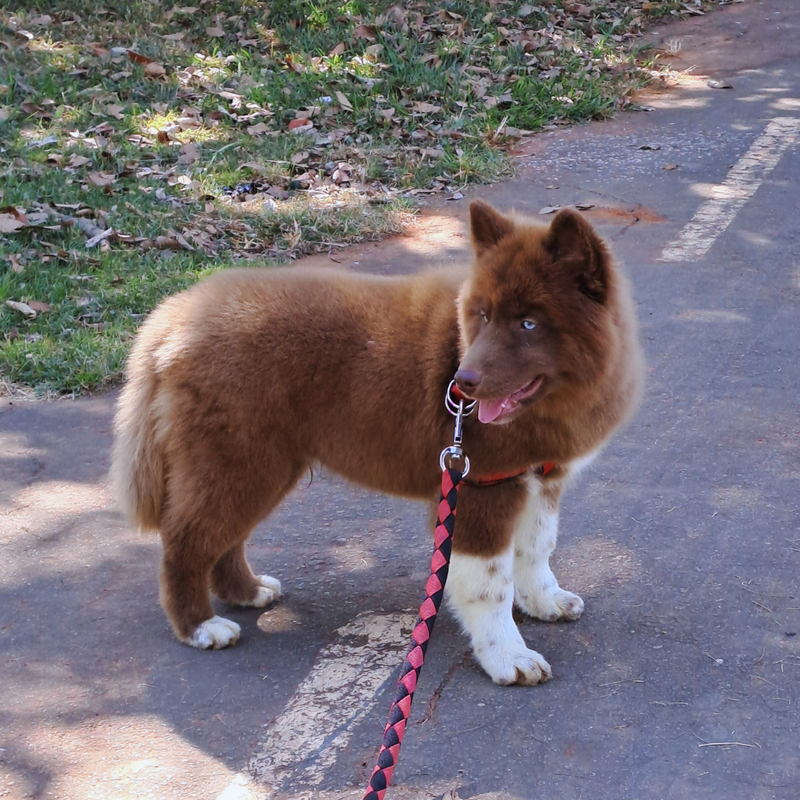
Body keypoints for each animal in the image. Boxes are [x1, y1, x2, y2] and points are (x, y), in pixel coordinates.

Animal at [111, 202, 644, 688]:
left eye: (530, 324)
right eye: (484, 314)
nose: (464, 382)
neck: (551, 406)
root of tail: (173, 315)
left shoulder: (538, 478)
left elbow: (536, 548)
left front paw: (544, 601)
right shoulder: (481, 491)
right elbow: (491, 584)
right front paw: (509, 658)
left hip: (256, 465)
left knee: (224, 536)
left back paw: (248, 592)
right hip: (237, 460)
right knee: (186, 540)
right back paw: (201, 627)